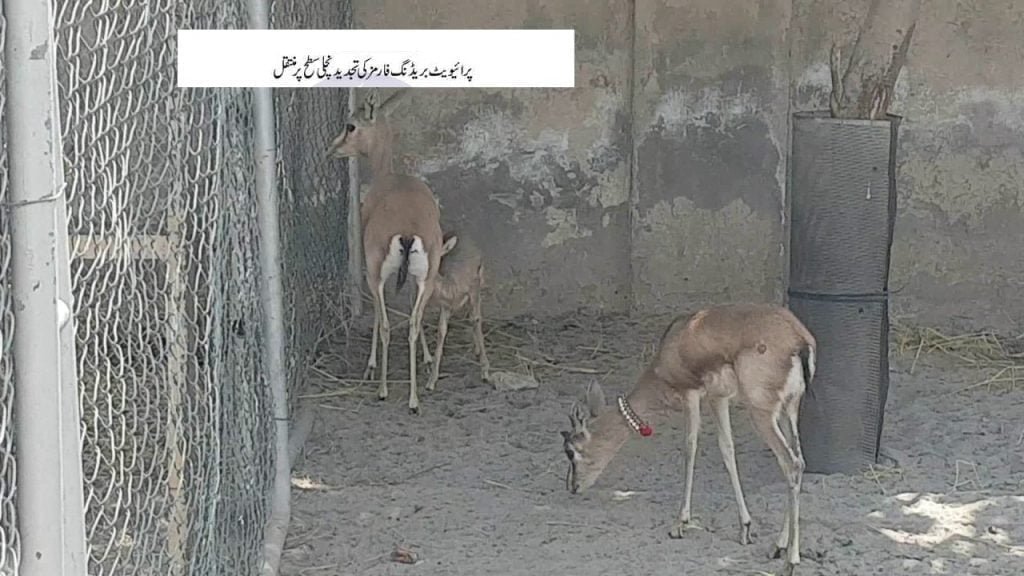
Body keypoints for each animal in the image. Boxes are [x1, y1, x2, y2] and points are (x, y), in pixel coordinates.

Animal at [328, 88, 443, 414]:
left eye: (351, 125)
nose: (332, 150)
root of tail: (407, 231)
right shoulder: (415, 279)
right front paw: (427, 359)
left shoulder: (373, 272)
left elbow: (381, 320)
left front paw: (370, 366)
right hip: (428, 278)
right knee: (414, 323)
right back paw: (414, 399)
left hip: (376, 275)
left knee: (388, 326)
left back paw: (382, 389)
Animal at [414, 230, 491, 391]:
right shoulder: (445, 306)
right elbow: (441, 331)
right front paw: (431, 382)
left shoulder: (474, 289)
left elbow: (476, 320)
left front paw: (485, 371)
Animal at [560, 303, 816, 576]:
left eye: (570, 451)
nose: (572, 487)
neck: (673, 346)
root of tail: (799, 340)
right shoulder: (718, 397)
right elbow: (727, 449)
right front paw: (745, 527)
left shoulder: (690, 393)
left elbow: (690, 447)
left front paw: (678, 524)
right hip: (790, 410)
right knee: (799, 461)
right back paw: (777, 547)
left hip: (762, 413)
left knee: (791, 463)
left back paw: (790, 561)